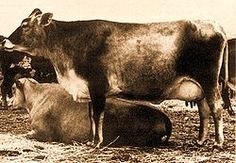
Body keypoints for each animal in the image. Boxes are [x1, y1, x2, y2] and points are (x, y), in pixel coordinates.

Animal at [0, 8, 228, 148]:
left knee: (216, 108)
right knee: (204, 112)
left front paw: (98, 142)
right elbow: (91, 115)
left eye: (25, 24)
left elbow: (98, 115)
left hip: (209, 81)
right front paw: (91, 140)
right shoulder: (88, 90)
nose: (4, 42)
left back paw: (218, 142)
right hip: (199, 88)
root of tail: (214, 25)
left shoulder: (97, 85)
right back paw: (200, 140)